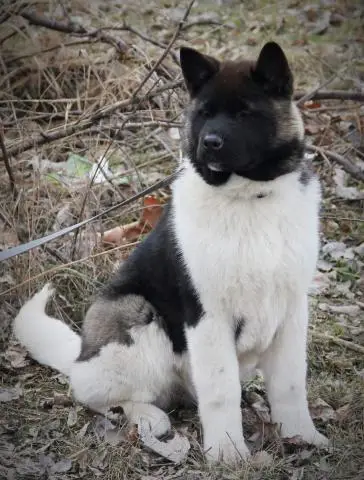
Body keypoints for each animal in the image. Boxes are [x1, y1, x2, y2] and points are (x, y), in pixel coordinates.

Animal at [14, 42, 328, 464]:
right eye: (205, 113)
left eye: (245, 113)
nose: (210, 143)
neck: (248, 198)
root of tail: (80, 352)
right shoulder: (208, 318)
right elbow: (221, 390)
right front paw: (227, 452)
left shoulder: (292, 311)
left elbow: (292, 384)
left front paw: (301, 436)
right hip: (135, 315)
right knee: (94, 392)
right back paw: (148, 417)